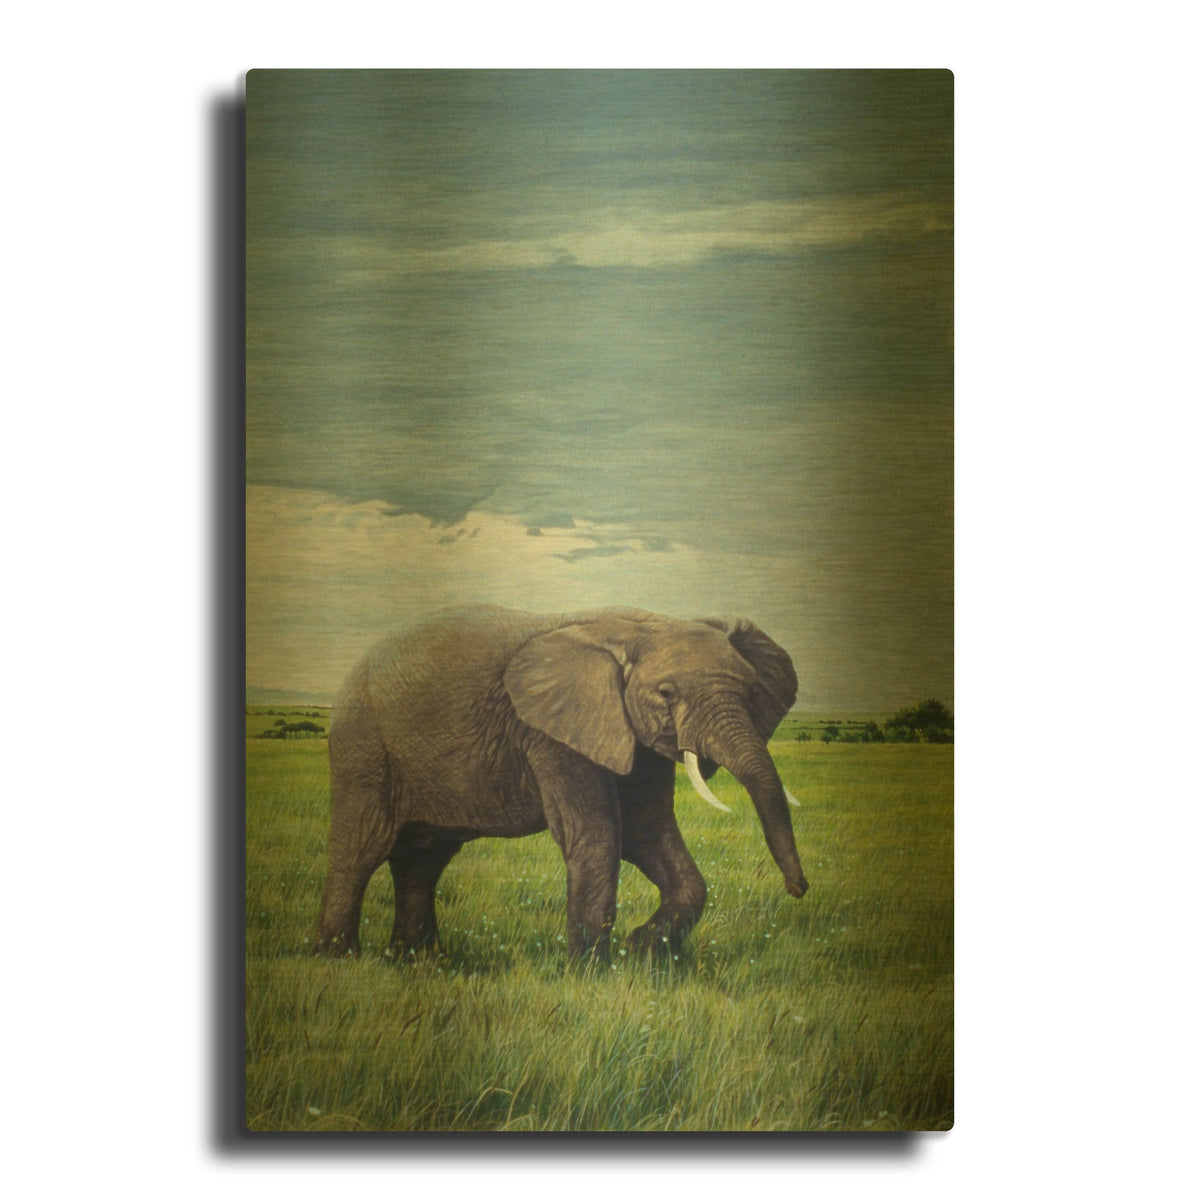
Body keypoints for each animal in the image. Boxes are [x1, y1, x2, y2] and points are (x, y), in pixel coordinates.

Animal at [312, 605, 809, 964]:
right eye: (667, 694)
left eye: (750, 692)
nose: (798, 889)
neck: (638, 626)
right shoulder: (552, 732)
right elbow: (597, 835)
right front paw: (592, 973)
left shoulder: (632, 738)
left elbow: (646, 833)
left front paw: (643, 951)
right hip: (364, 747)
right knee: (363, 849)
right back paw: (338, 960)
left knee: (424, 857)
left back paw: (419, 961)